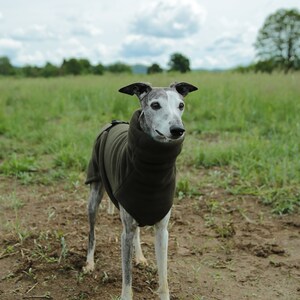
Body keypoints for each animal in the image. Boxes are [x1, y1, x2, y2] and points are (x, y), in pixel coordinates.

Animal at [83, 82, 198, 300]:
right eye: (155, 105)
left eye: (181, 105)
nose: (178, 130)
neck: (152, 171)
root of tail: (112, 123)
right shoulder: (125, 234)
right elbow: (127, 281)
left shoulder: (162, 231)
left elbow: (164, 279)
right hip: (94, 195)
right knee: (92, 233)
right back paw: (89, 263)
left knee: (136, 231)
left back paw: (140, 257)